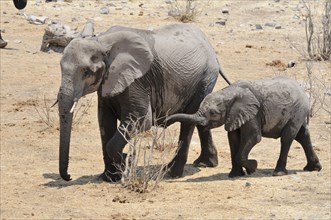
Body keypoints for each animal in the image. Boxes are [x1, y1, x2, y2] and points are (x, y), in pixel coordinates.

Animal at [57, 24, 231, 182]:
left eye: (87, 72)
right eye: (61, 67)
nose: (69, 177)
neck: (102, 41)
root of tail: (210, 47)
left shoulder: (137, 81)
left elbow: (141, 119)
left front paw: (127, 161)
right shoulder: (107, 83)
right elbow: (104, 122)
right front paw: (109, 177)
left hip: (205, 77)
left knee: (188, 122)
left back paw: (173, 173)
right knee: (199, 117)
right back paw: (205, 163)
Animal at [167, 76, 322, 178]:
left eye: (213, 113)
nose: (166, 119)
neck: (229, 93)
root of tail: (303, 91)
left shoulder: (253, 113)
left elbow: (253, 137)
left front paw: (253, 167)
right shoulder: (235, 115)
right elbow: (233, 138)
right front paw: (235, 175)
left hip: (297, 111)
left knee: (288, 137)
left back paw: (278, 173)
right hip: (298, 112)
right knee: (302, 135)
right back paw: (313, 168)